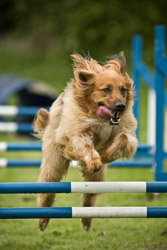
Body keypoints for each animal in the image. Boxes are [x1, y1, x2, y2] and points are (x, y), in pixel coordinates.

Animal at [34, 51, 137, 231]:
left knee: (89, 195)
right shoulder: (77, 135)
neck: (99, 119)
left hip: (96, 179)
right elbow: (86, 145)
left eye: (123, 90)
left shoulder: (127, 132)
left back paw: (87, 220)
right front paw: (95, 159)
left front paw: (106, 155)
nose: (121, 106)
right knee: (48, 188)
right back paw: (43, 220)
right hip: (53, 163)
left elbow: (124, 138)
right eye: (106, 89)